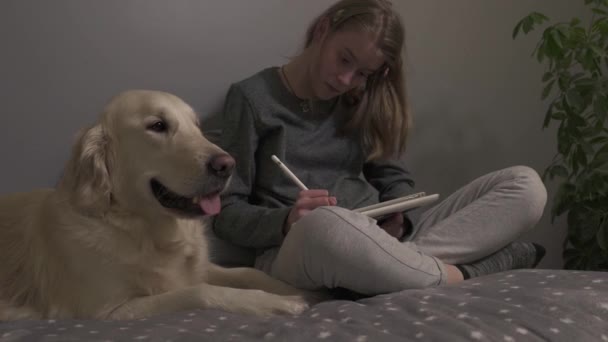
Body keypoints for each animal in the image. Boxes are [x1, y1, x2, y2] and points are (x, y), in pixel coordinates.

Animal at [0, 89, 314, 320]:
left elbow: (248, 272)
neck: (143, 230)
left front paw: (300, 290)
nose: (228, 165)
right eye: (158, 126)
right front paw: (279, 303)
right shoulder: (109, 311)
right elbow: (200, 292)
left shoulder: (203, 267)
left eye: (197, 127)